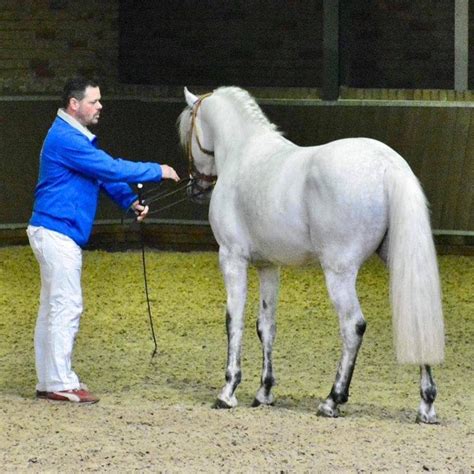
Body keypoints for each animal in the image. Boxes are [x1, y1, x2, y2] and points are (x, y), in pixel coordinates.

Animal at [177, 87, 444, 424]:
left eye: (188, 131)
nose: (195, 189)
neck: (244, 152)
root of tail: (387, 164)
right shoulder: (268, 266)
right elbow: (266, 326)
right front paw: (264, 393)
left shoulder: (232, 258)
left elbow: (233, 320)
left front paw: (228, 392)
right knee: (419, 322)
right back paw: (426, 405)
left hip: (339, 272)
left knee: (353, 325)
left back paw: (332, 400)